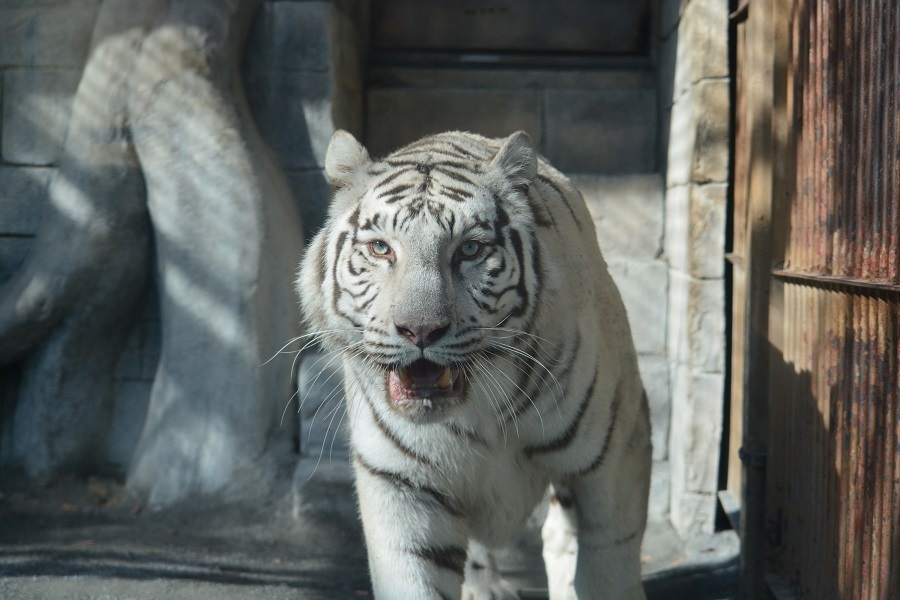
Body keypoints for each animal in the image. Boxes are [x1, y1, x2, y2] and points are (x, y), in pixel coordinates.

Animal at [298, 131, 652, 600]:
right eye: (380, 248)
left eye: (469, 249)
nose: (420, 330)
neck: (476, 410)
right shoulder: (401, 483)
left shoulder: (617, 456)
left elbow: (606, 564)